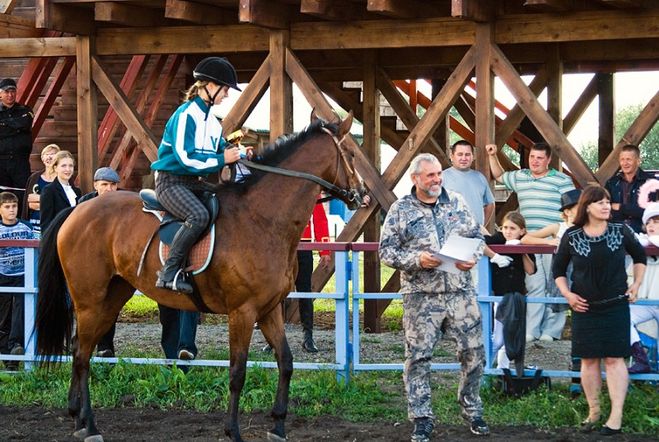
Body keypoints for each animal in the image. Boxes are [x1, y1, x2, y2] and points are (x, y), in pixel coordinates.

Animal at [34, 111, 366, 442]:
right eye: (351, 154)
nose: (362, 195)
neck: (262, 219)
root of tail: (78, 210)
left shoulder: (269, 310)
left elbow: (285, 362)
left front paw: (278, 426)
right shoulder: (242, 312)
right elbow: (237, 371)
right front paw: (233, 431)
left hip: (111, 298)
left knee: (80, 347)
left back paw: (77, 417)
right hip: (90, 300)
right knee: (81, 355)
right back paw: (89, 425)